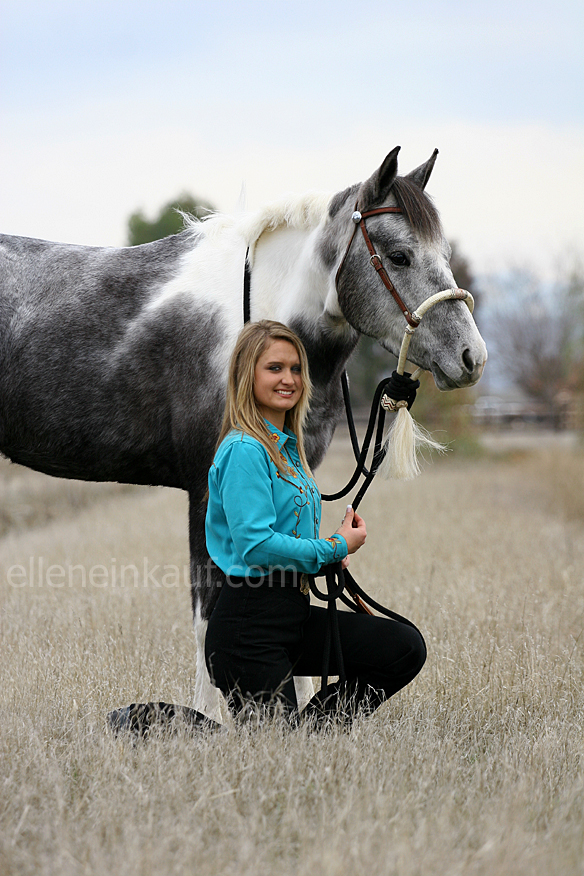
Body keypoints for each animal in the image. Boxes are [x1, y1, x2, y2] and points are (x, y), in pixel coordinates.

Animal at [0, 147, 488, 716]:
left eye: (443, 252)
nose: (471, 357)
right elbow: (206, 616)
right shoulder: (205, 490)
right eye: (399, 256)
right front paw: (210, 720)